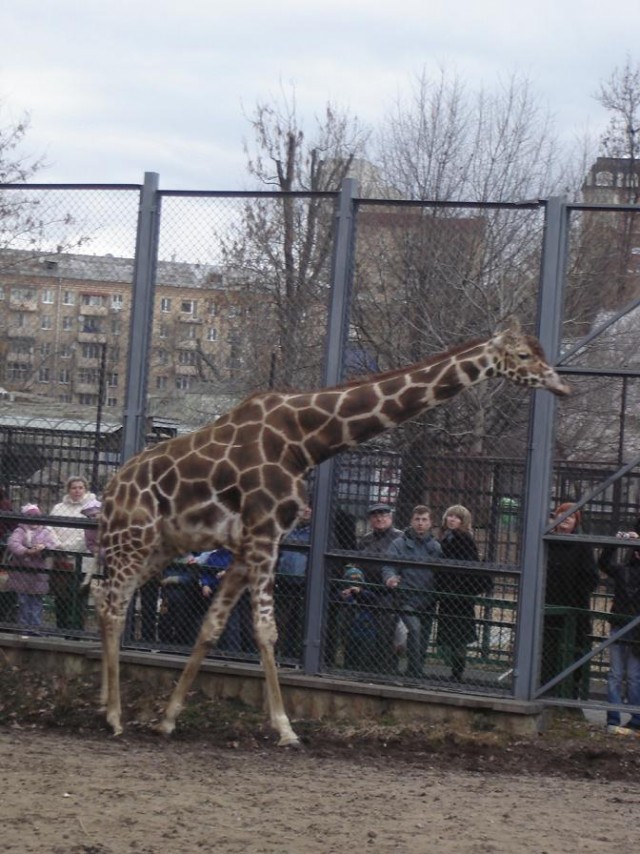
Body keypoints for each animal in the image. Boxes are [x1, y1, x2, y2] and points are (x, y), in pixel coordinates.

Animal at [97, 318, 568, 744]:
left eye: (542, 351)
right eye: (523, 356)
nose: (562, 386)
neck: (303, 441)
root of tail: (111, 489)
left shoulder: (250, 542)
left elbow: (212, 626)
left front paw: (168, 719)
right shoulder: (265, 533)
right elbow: (266, 630)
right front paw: (286, 729)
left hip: (159, 547)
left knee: (107, 602)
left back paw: (109, 706)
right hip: (133, 540)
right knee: (114, 607)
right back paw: (115, 717)